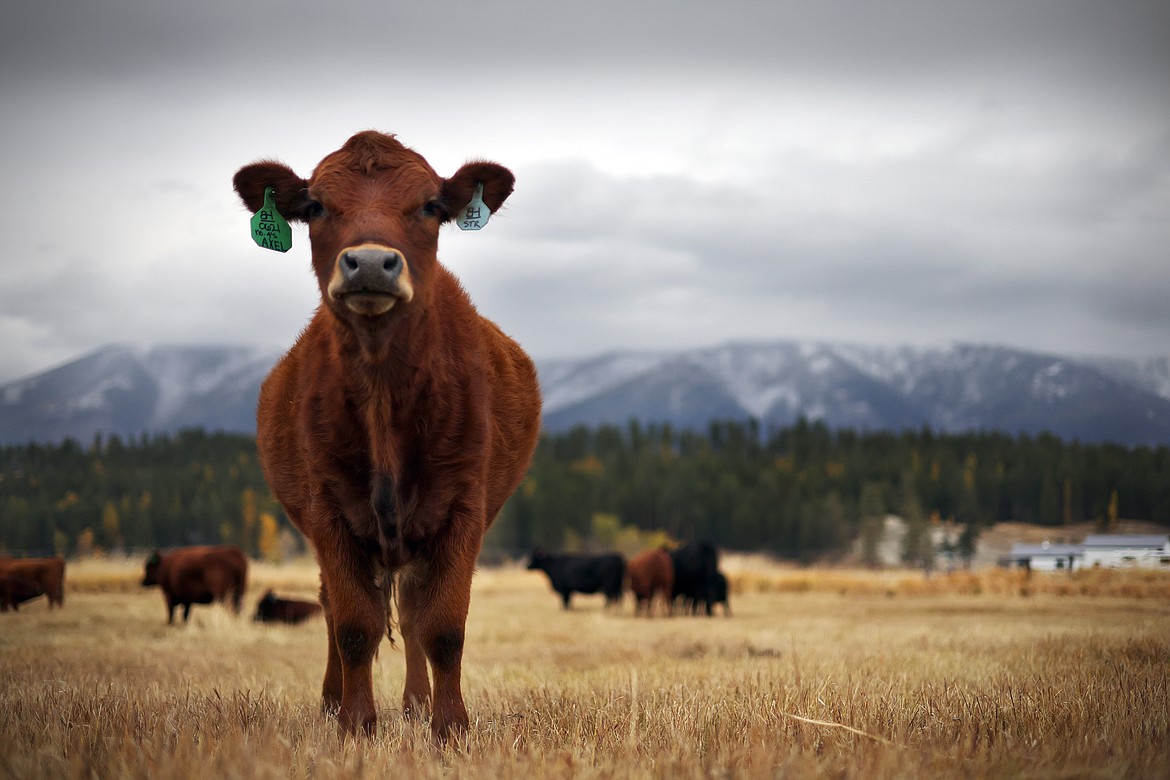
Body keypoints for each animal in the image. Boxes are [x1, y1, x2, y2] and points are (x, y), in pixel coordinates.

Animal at [233, 130, 542, 743]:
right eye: (315, 206)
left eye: (431, 206)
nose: (371, 263)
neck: (382, 394)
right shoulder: (328, 509)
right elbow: (354, 624)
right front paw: (355, 723)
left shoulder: (463, 508)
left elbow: (443, 627)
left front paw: (449, 726)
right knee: (337, 609)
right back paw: (333, 701)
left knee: (415, 614)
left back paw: (417, 703)